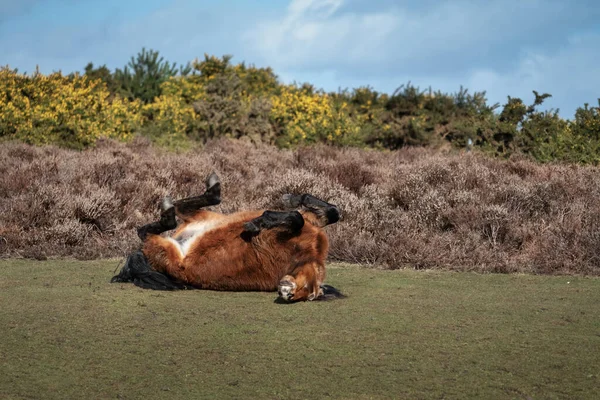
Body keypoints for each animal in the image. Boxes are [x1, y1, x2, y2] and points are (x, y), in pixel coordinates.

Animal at [110, 173, 344, 302]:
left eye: (310, 295)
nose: (286, 293)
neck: (305, 253)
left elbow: (318, 214)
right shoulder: (309, 224)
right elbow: (323, 212)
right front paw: (267, 216)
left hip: (167, 247)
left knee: (149, 230)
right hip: (206, 217)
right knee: (172, 214)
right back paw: (210, 191)